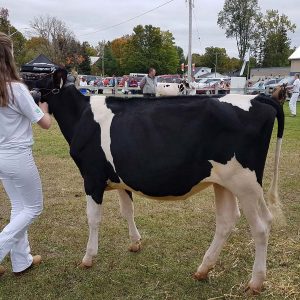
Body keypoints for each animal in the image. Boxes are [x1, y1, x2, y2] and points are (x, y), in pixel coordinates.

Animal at [37, 69, 286, 294]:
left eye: (35, 78)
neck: (81, 116)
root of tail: (257, 98)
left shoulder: (92, 178)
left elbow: (93, 218)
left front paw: (88, 257)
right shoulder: (119, 178)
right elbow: (127, 210)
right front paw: (135, 242)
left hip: (246, 183)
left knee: (261, 226)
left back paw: (255, 282)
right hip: (225, 183)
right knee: (229, 220)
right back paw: (203, 269)